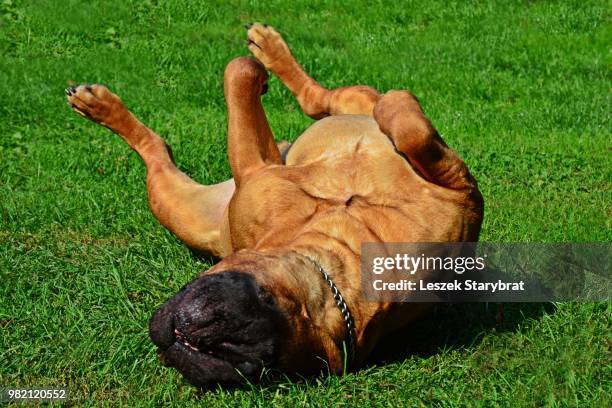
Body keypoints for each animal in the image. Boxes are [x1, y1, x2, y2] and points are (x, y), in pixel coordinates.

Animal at [63, 23, 482, 388]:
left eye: (249, 364)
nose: (191, 342)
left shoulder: (254, 170)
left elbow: (238, 73)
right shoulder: (459, 189)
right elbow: (409, 128)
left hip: (178, 204)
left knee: (160, 149)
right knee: (328, 100)